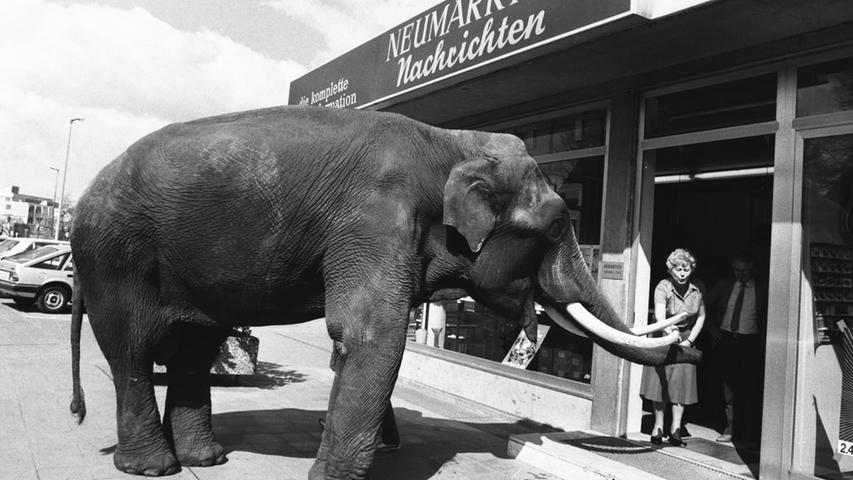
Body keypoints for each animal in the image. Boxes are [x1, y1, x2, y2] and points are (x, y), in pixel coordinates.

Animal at [68, 106, 700, 480]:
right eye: (557, 224)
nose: (685, 334)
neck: (451, 143)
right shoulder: (373, 217)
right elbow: (370, 332)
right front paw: (334, 476)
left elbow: (372, 339)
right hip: (115, 256)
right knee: (131, 349)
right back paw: (152, 468)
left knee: (196, 348)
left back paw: (208, 458)